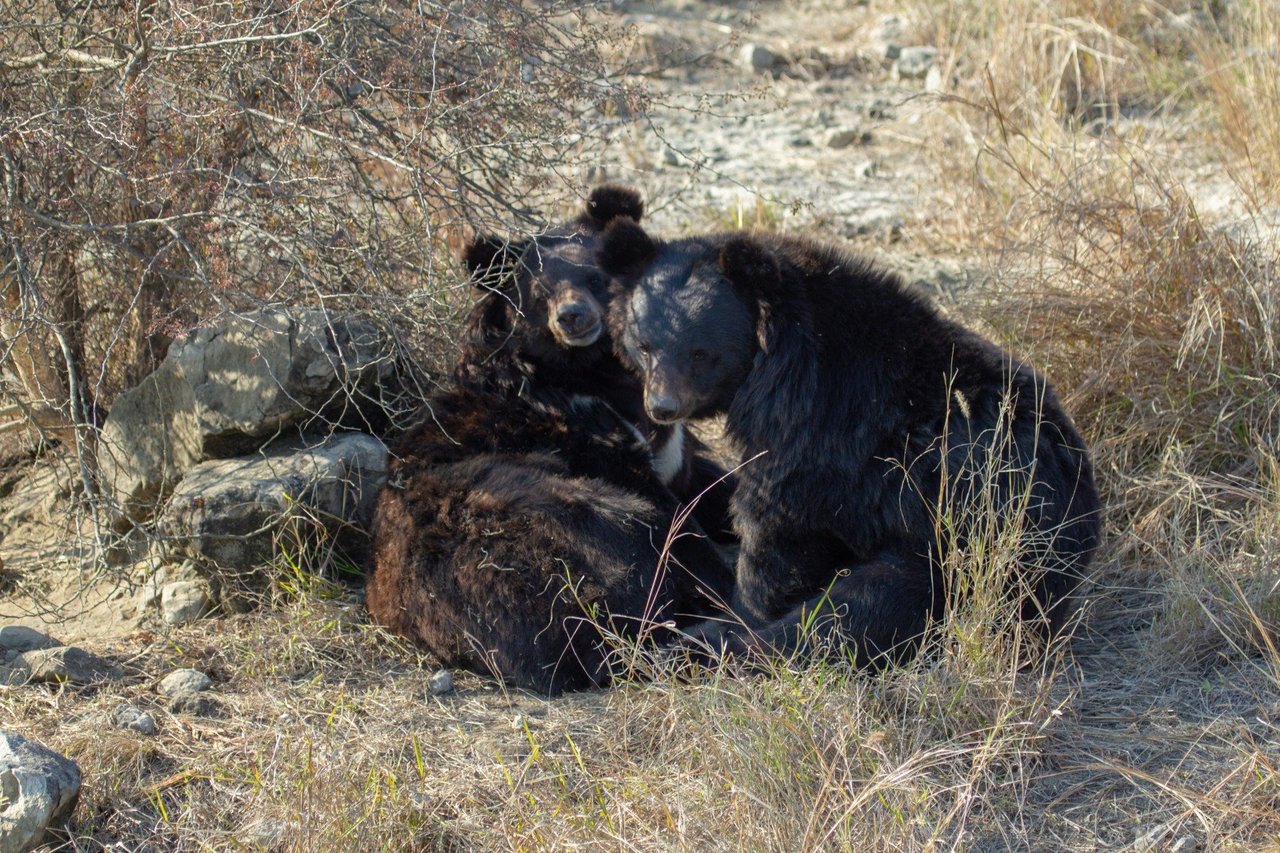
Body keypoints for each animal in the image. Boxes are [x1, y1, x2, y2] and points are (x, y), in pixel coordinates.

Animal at [366, 185, 737, 691]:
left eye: (594, 276)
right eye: (539, 293)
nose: (573, 317)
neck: (590, 370)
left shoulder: (668, 446)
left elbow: (714, 480)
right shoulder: (589, 436)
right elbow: (678, 520)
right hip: (565, 524)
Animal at [599, 217, 1100, 666]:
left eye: (701, 353)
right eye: (644, 345)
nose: (662, 406)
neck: (774, 360)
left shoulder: (818, 428)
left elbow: (775, 524)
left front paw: (739, 612)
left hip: (959, 548)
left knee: (851, 615)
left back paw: (696, 650)